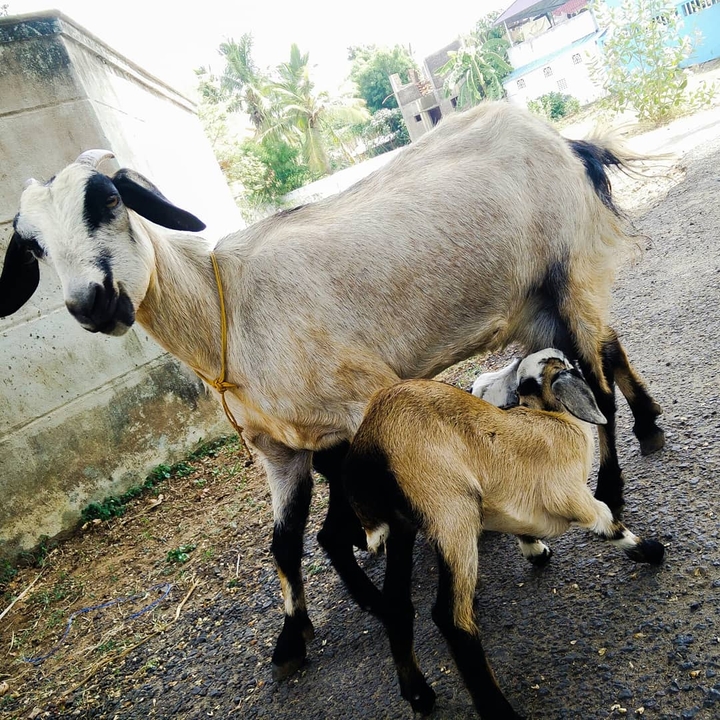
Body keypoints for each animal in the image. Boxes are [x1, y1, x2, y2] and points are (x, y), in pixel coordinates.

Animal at [0, 101, 664, 681]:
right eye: (32, 244)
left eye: (109, 200)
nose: (92, 303)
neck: (225, 314)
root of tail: (564, 139)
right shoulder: (281, 451)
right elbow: (284, 544)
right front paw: (292, 640)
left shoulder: (363, 406)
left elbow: (351, 522)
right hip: (535, 301)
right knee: (607, 351)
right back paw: (649, 423)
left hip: (569, 272)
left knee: (596, 384)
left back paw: (612, 485)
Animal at [344, 349, 665, 718]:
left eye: (523, 383)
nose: (480, 387)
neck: (556, 419)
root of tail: (368, 443)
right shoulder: (571, 495)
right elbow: (608, 523)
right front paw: (651, 550)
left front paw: (535, 551)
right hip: (452, 513)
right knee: (451, 617)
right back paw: (497, 709)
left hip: (404, 528)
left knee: (397, 606)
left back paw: (418, 695)